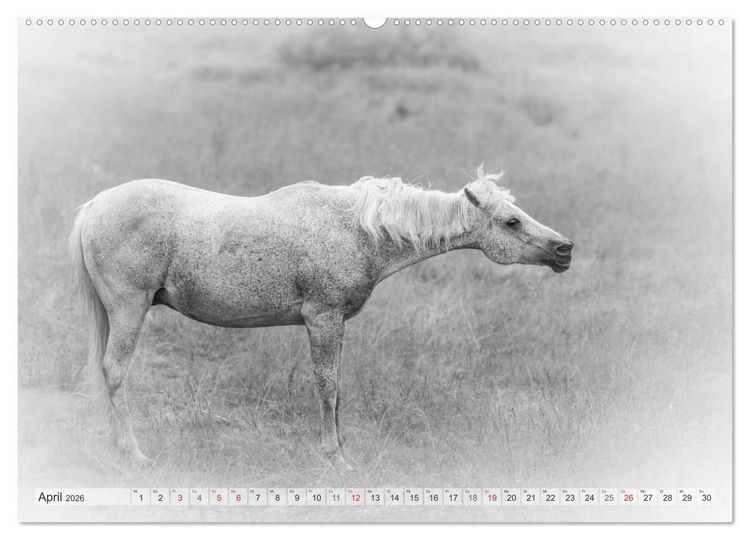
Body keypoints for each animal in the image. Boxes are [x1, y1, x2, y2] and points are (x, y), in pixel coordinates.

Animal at [69, 167, 573, 469]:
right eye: (511, 222)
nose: (564, 249)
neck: (359, 230)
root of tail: (95, 205)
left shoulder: (337, 324)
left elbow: (338, 388)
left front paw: (341, 447)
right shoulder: (323, 319)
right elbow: (327, 388)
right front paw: (334, 457)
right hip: (128, 308)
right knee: (115, 372)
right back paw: (133, 453)